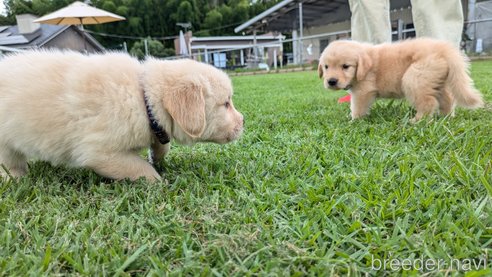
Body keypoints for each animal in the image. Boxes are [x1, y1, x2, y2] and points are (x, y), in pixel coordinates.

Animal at [0, 50, 244, 181]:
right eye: (226, 104)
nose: (244, 121)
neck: (143, 97)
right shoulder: (99, 152)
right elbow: (139, 168)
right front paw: (158, 181)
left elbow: (162, 144)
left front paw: (158, 157)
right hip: (5, 144)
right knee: (10, 163)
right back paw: (17, 178)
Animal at [318, 37, 482, 121]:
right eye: (326, 67)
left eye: (346, 66)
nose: (331, 81)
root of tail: (443, 49)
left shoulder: (363, 91)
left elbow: (357, 107)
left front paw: (354, 120)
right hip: (436, 81)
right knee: (447, 99)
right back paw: (445, 116)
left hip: (414, 79)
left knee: (428, 102)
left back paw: (417, 121)